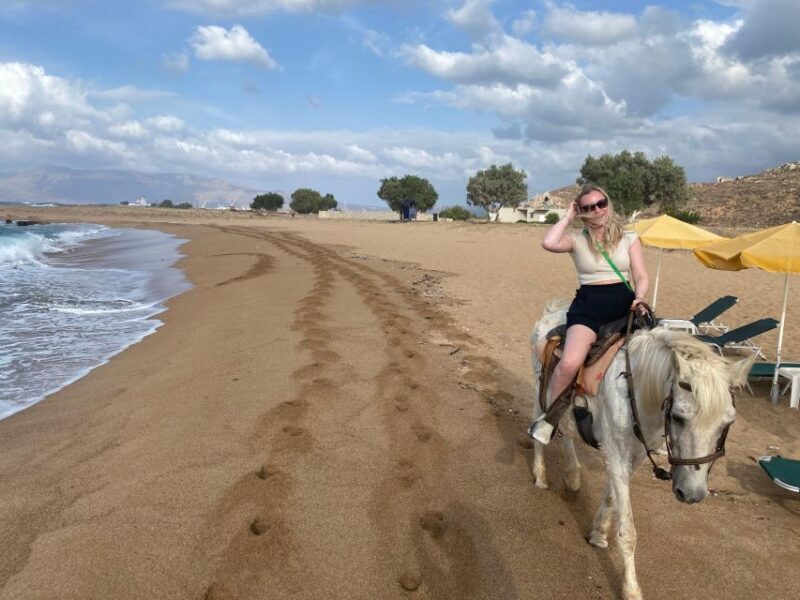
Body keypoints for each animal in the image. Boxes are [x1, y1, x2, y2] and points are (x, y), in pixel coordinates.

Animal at [529, 299, 753, 600]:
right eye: (679, 417)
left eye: (728, 423)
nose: (692, 494)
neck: (635, 390)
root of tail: (551, 311)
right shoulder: (616, 455)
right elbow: (629, 531)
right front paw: (631, 588)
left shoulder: (631, 458)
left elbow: (611, 499)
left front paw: (598, 534)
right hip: (542, 389)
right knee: (542, 425)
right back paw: (541, 474)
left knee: (565, 429)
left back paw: (573, 477)